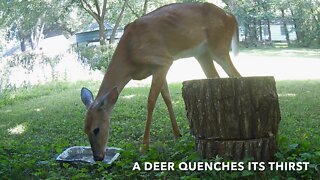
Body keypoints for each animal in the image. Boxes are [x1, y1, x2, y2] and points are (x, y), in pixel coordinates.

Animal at [80, 2, 240, 161]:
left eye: (96, 129)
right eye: (85, 129)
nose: (98, 157)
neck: (130, 58)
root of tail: (231, 17)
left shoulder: (164, 60)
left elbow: (151, 101)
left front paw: (144, 147)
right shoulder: (156, 68)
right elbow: (167, 98)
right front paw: (177, 135)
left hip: (219, 47)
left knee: (236, 75)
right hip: (202, 54)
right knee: (216, 77)